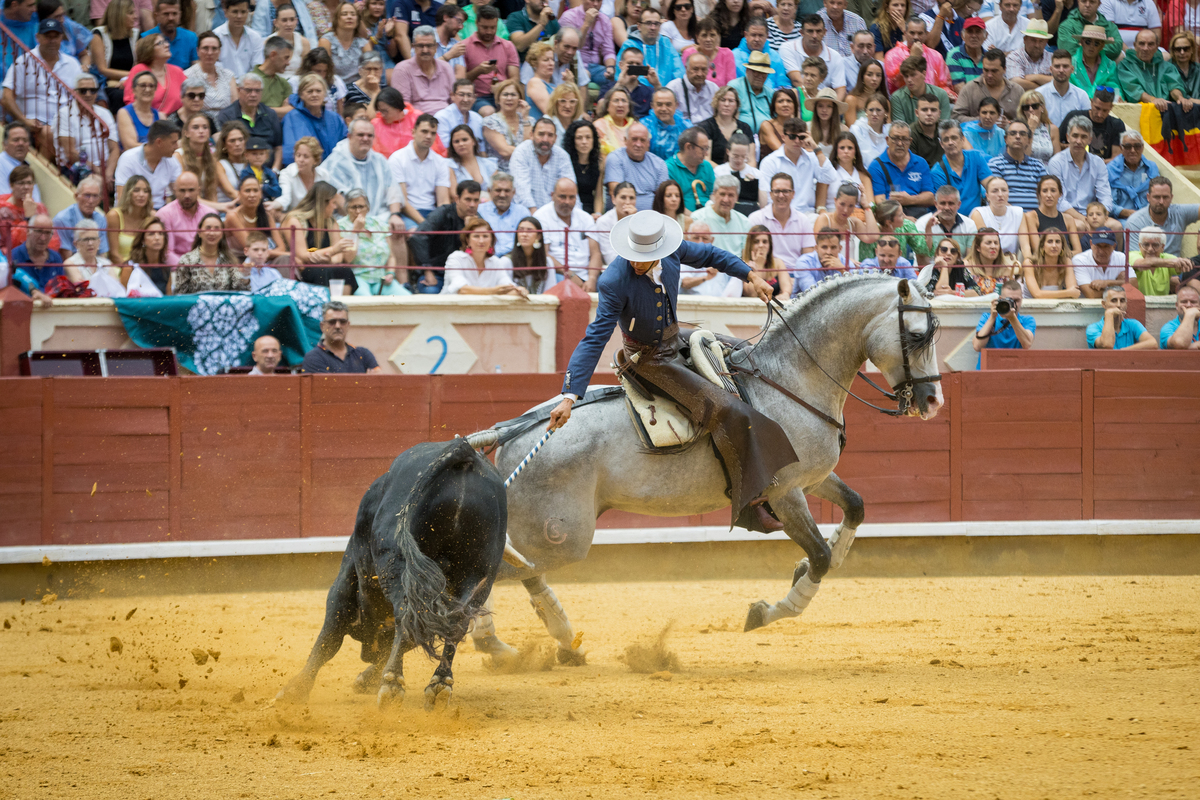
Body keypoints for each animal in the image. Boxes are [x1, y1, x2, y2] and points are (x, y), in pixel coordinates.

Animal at [277, 441, 506, 710]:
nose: (369, 654)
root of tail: (465, 453)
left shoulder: (343, 584)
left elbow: (328, 639)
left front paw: (295, 689)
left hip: (396, 563)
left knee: (407, 616)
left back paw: (392, 684)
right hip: (480, 575)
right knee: (454, 623)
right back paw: (440, 685)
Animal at [468, 272, 945, 662]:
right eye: (917, 336)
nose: (933, 402)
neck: (789, 377)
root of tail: (513, 434)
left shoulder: (814, 477)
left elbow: (856, 507)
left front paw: (813, 563)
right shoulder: (784, 491)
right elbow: (821, 557)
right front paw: (768, 610)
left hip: (543, 534)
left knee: (517, 569)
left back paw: (561, 639)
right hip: (563, 536)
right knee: (498, 570)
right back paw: (497, 643)